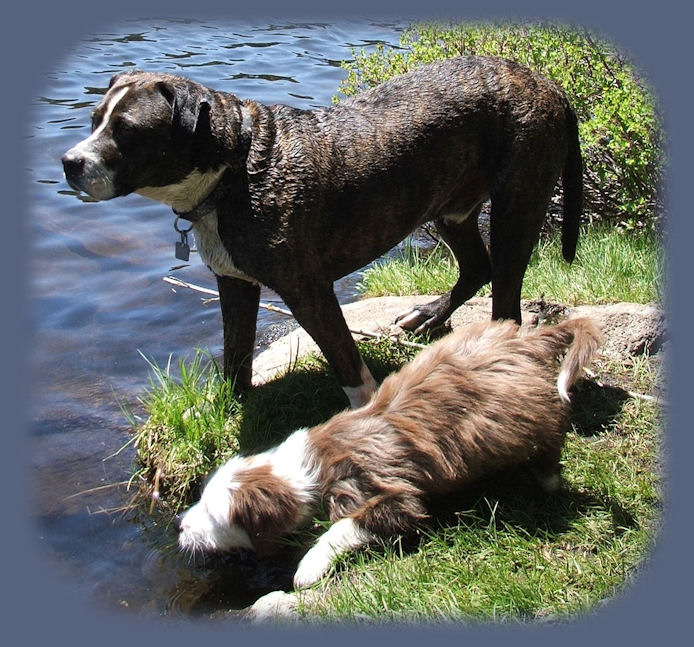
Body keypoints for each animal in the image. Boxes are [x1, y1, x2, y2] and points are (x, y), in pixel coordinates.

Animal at [62, 58, 584, 408]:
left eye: (128, 132)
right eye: (94, 120)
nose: (70, 162)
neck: (234, 169)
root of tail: (550, 85)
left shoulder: (308, 290)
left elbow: (346, 361)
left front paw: (366, 412)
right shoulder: (235, 283)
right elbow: (235, 356)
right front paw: (228, 405)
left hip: (517, 207)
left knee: (506, 297)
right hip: (451, 210)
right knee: (476, 267)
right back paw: (428, 315)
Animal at [177, 316, 600, 588]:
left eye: (214, 514)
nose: (181, 527)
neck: (308, 471)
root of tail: (528, 340)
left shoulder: (385, 492)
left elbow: (348, 525)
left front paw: (308, 567)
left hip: (521, 417)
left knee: (550, 439)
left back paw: (547, 478)